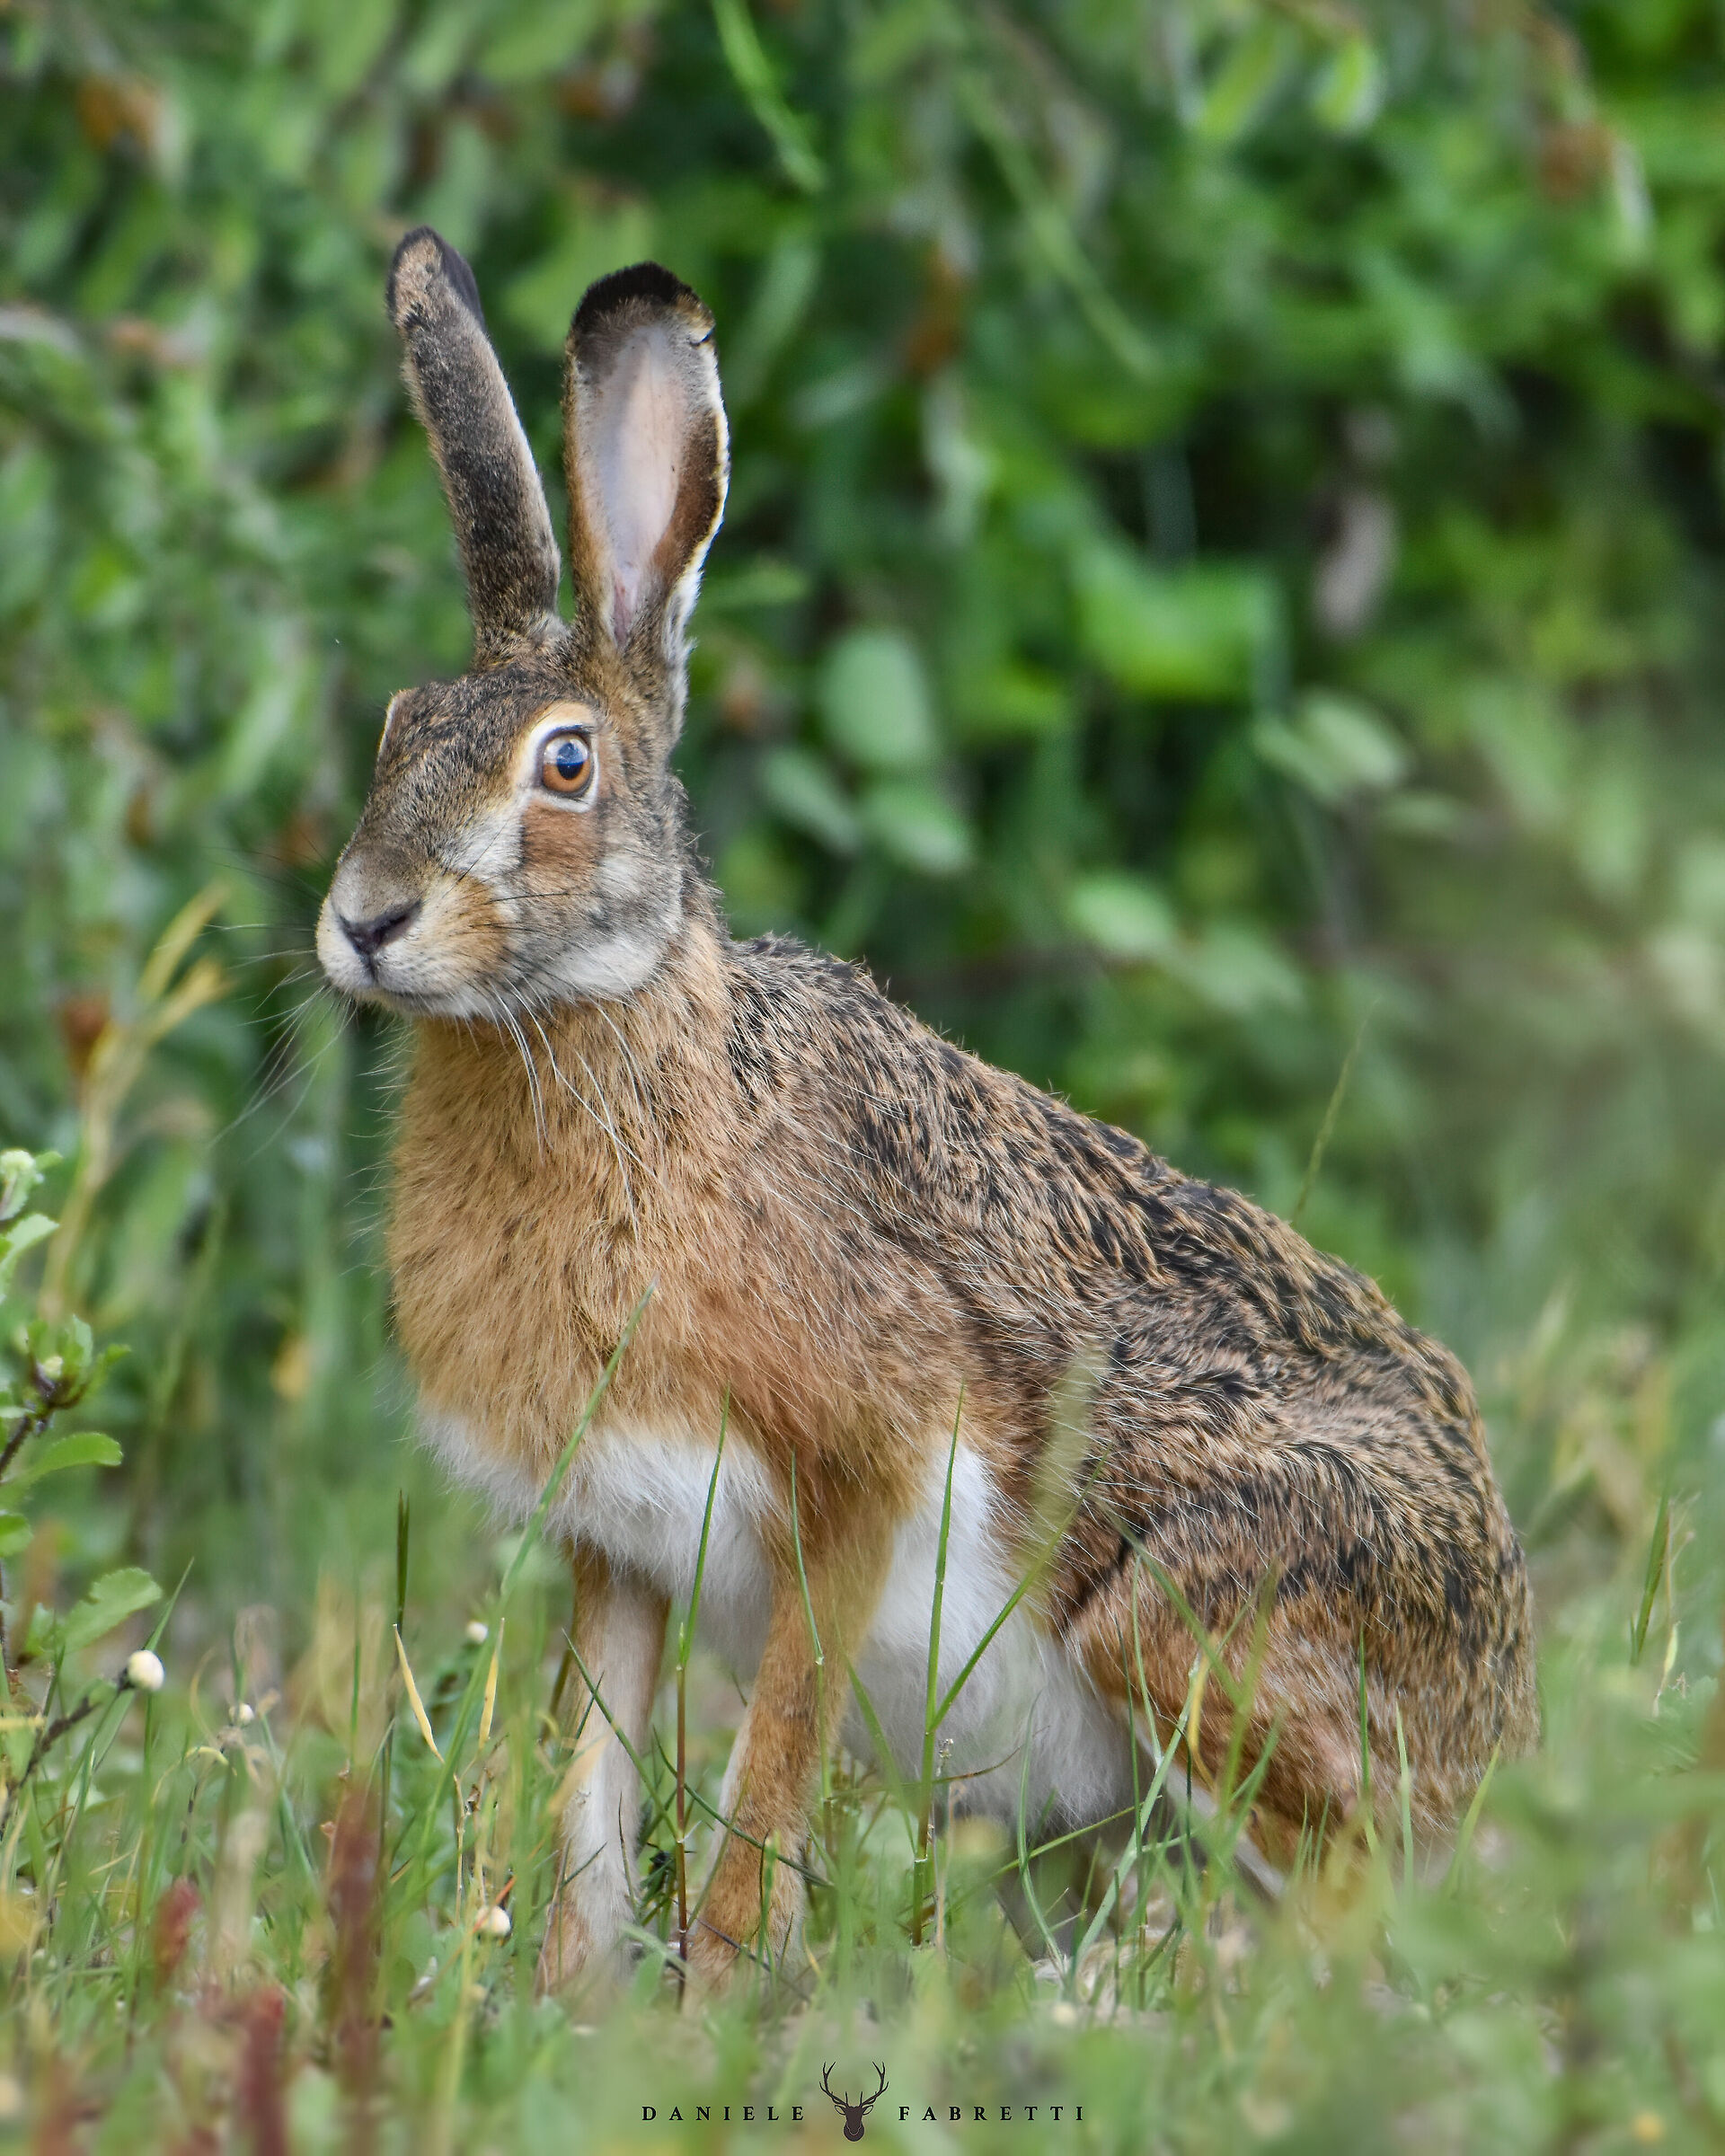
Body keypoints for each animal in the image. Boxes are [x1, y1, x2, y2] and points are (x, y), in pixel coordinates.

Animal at [317, 228, 1538, 1992]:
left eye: (565, 765)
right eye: (398, 726)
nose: (365, 921)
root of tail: (1501, 1689)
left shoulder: (862, 1478)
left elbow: (771, 1764)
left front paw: (713, 1998)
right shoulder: (618, 1544)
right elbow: (586, 1784)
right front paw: (566, 1993)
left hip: (1194, 1617)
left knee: (1346, 1902)